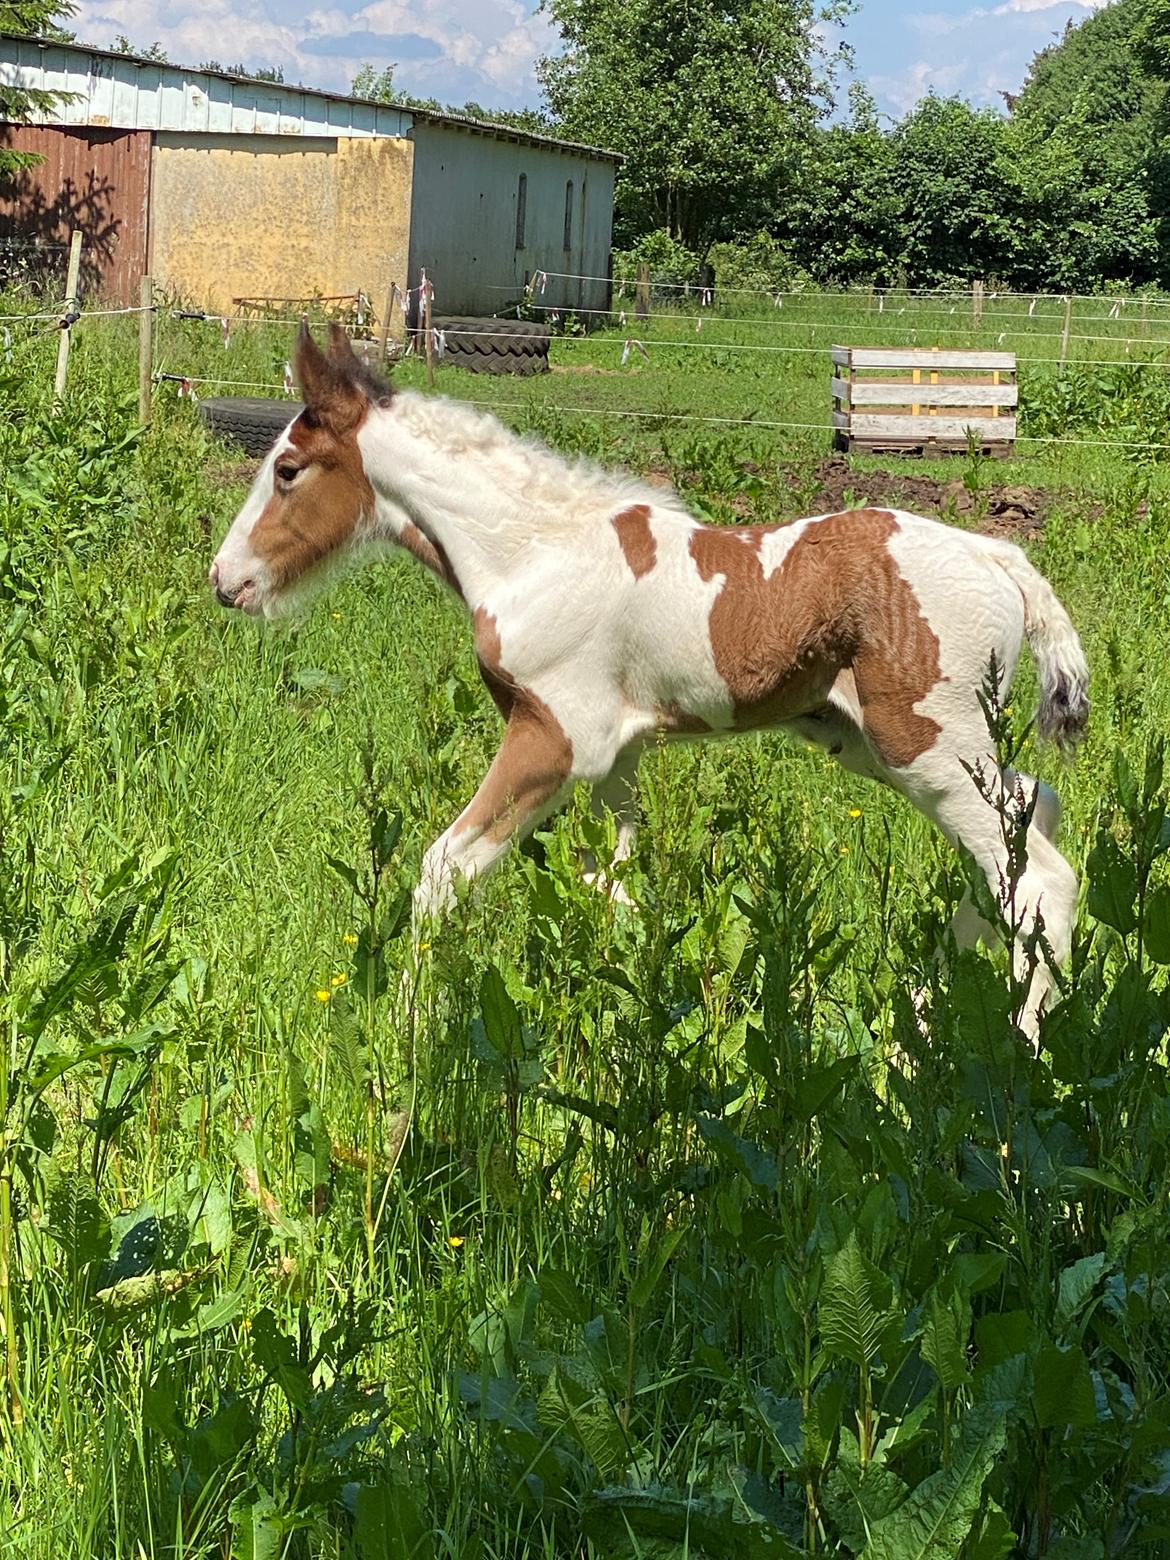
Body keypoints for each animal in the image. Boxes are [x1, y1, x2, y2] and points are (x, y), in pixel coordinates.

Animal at [209, 324, 1092, 1042]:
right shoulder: (617, 761)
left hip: (926, 744)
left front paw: (408, 1036)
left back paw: (1007, 1050)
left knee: (1038, 878)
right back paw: (921, 1014)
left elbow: (443, 872)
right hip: (886, 744)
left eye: (287, 469)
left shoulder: (553, 741)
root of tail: (997, 556)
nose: (226, 581)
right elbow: (617, 895)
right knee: (1025, 823)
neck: (535, 553)